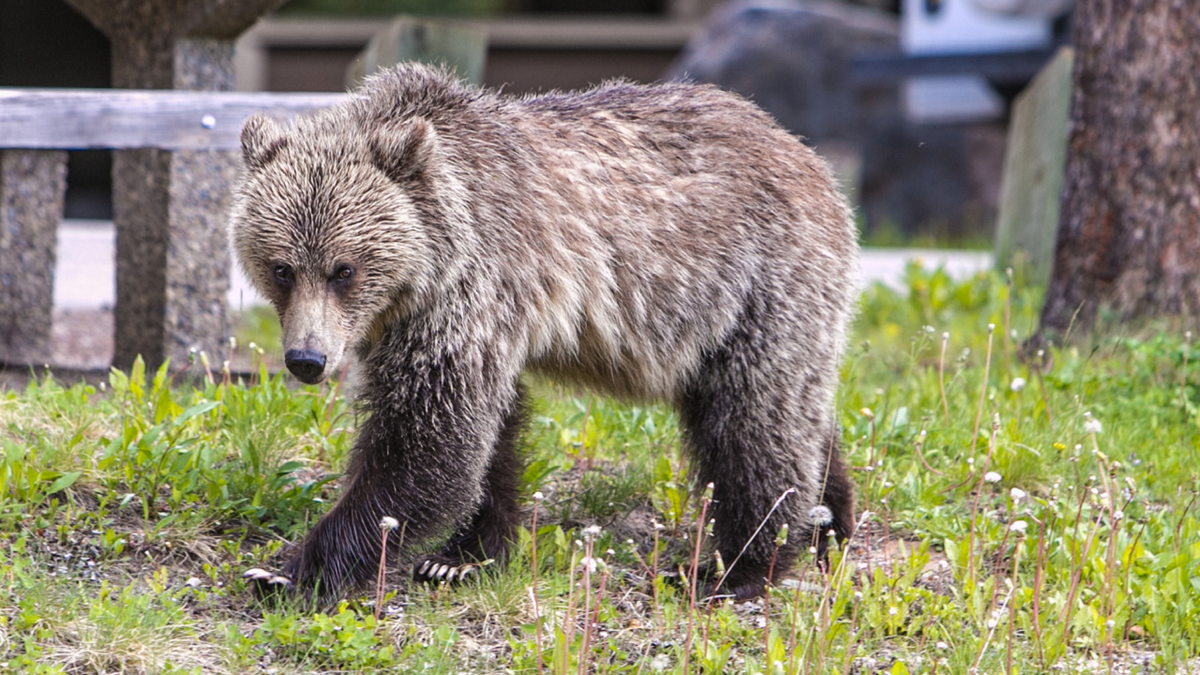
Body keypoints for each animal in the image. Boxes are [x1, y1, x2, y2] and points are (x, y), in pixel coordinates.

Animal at [229, 63, 859, 598]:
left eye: (344, 269)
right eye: (282, 268)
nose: (306, 359)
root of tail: (805, 154)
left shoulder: (467, 292)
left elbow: (426, 443)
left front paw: (289, 570)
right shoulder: (439, 323)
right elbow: (488, 432)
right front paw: (462, 556)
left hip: (755, 283)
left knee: (753, 423)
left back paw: (739, 567)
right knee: (794, 410)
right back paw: (830, 523)